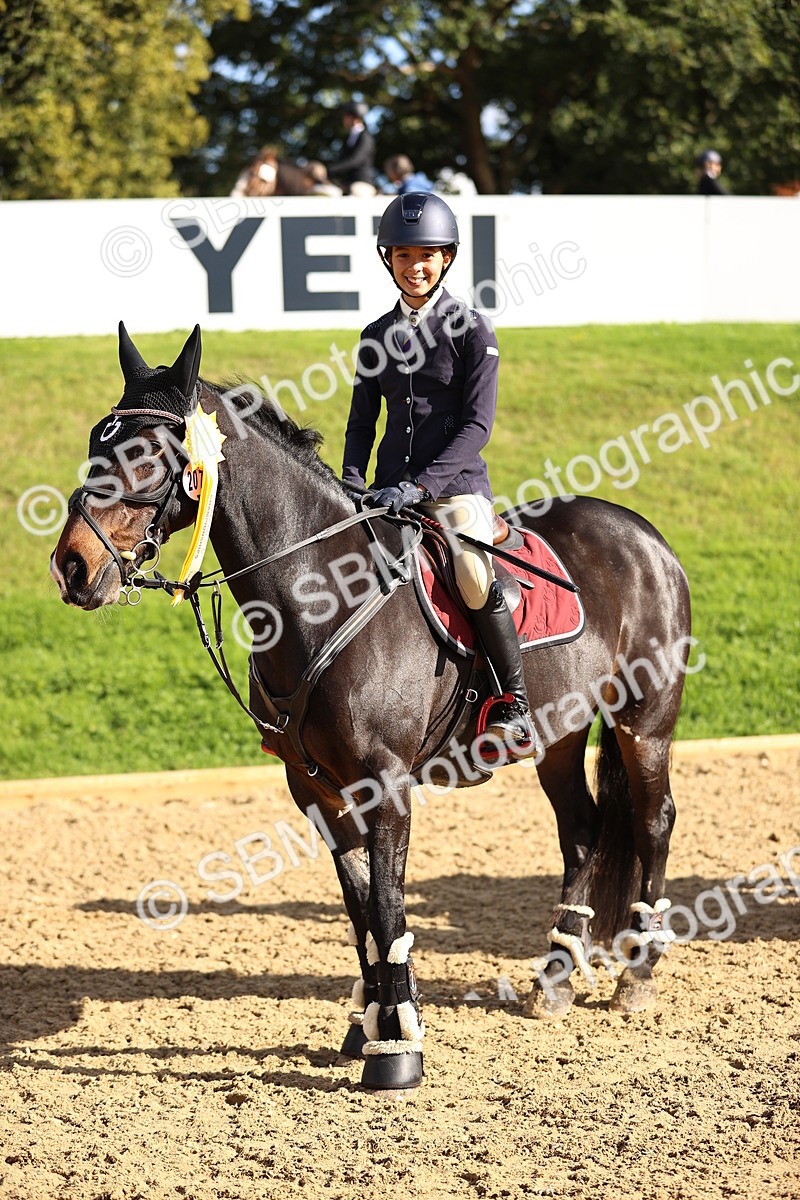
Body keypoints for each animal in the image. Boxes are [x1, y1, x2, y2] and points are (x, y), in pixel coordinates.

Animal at [51, 324, 692, 1091]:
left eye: (145, 453)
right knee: (584, 830)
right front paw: (370, 1024)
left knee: (653, 822)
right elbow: (359, 912)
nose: (72, 567)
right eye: (97, 440)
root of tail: (642, 533)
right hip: (558, 735)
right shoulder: (318, 791)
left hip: (644, 723)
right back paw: (557, 976)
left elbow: (388, 907)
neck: (322, 593)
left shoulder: (385, 785)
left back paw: (639, 973)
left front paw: (400, 1048)